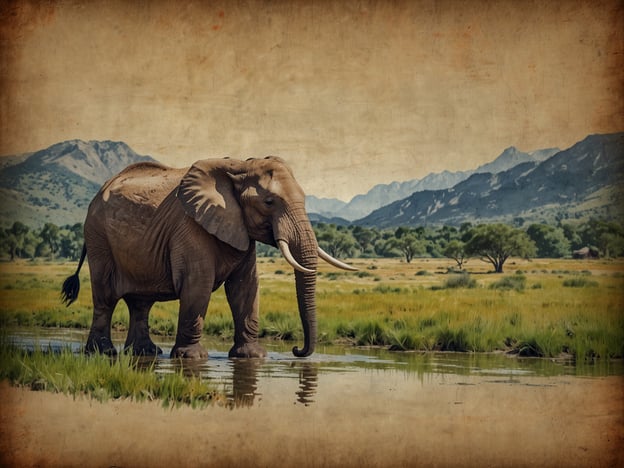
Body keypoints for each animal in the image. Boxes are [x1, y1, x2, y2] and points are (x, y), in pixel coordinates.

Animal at [62, 157, 356, 358]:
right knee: (105, 296)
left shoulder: (240, 229)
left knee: (140, 303)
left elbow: (245, 289)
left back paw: (146, 353)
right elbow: (198, 284)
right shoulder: (190, 225)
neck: (239, 166)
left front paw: (252, 357)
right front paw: (191, 359)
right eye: (269, 202)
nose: (296, 349)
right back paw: (103, 353)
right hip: (98, 236)